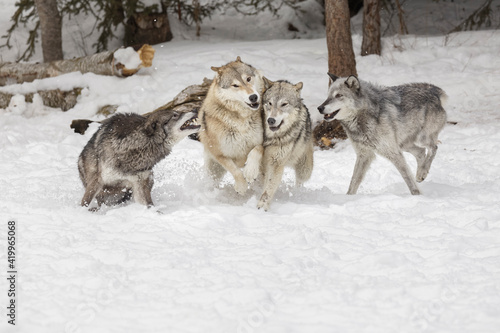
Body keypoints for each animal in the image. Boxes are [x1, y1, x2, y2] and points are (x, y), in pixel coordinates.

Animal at [197, 55, 266, 193]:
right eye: (235, 85)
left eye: (248, 79)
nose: (253, 97)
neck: (241, 120)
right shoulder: (220, 154)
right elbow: (235, 171)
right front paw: (242, 186)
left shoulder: (262, 143)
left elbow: (257, 149)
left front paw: (250, 171)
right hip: (213, 170)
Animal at [258, 77, 312, 210]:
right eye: (270, 103)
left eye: (284, 104)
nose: (271, 120)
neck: (270, 138)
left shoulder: (276, 163)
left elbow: (269, 188)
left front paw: (262, 206)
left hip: (305, 169)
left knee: (300, 181)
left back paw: (298, 194)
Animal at [318, 74, 448, 195]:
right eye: (328, 96)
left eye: (338, 96)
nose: (319, 108)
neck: (362, 119)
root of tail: (434, 92)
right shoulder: (364, 155)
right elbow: (353, 182)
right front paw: (348, 198)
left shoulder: (393, 153)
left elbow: (408, 178)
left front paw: (417, 195)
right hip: (403, 145)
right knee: (421, 152)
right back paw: (420, 174)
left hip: (420, 139)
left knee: (434, 147)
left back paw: (423, 172)